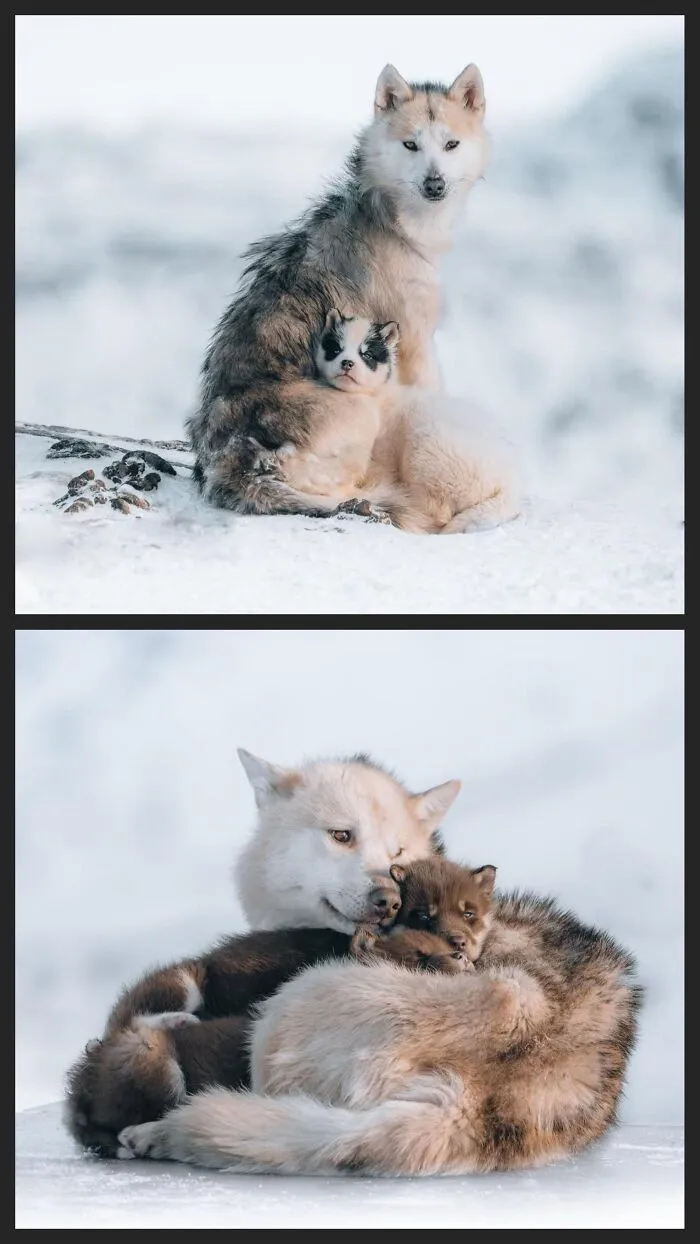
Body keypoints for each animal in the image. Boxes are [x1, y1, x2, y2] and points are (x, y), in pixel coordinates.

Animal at [186, 63, 490, 515]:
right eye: (411, 145)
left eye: (451, 144)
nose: (435, 184)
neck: (390, 220)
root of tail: (224, 461)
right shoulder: (417, 344)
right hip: (357, 411)